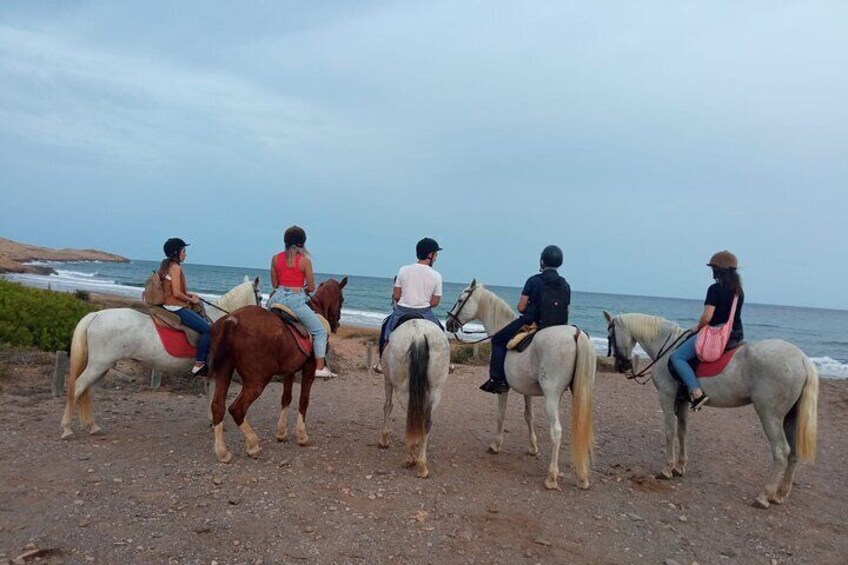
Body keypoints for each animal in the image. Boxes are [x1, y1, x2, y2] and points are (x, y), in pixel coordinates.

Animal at [60, 276, 260, 438]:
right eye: (259, 295)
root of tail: (96, 315)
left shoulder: (211, 374)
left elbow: (211, 396)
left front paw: (212, 421)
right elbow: (214, 397)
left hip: (102, 367)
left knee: (87, 392)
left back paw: (92, 426)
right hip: (98, 365)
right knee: (78, 387)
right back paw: (67, 429)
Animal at [207, 274, 346, 462]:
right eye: (342, 299)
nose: (337, 324)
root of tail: (232, 321)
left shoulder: (290, 371)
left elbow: (286, 398)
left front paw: (281, 433)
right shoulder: (308, 369)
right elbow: (303, 401)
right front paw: (302, 436)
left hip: (224, 372)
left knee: (217, 406)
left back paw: (222, 452)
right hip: (257, 381)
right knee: (236, 409)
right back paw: (253, 444)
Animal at [380, 318, 454, 476]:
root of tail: (419, 334)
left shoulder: (387, 378)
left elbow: (387, 406)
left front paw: (384, 440)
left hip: (402, 389)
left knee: (411, 417)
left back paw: (410, 459)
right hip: (435, 390)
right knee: (425, 422)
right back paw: (422, 466)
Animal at [444, 278, 596, 490]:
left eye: (459, 300)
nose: (448, 323)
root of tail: (576, 334)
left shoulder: (502, 389)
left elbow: (501, 414)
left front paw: (496, 445)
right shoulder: (527, 391)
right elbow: (528, 416)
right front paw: (532, 448)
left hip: (552, 395)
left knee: (556, 432)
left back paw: (551, 477)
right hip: (580, 393)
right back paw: (582, 477)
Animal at [608, 310, 820, 508]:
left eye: (610, 336)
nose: (621, 367)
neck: (667, 349)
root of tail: (802, 359)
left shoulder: (667, 397)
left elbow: (670, 431)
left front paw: (667, 469)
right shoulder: (682, 402)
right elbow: (682, 432)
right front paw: (680, 467)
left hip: (770, 416)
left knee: (781, 452)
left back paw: (764, 496)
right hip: (791, 417)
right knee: (793, 453)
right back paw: (780, 494)